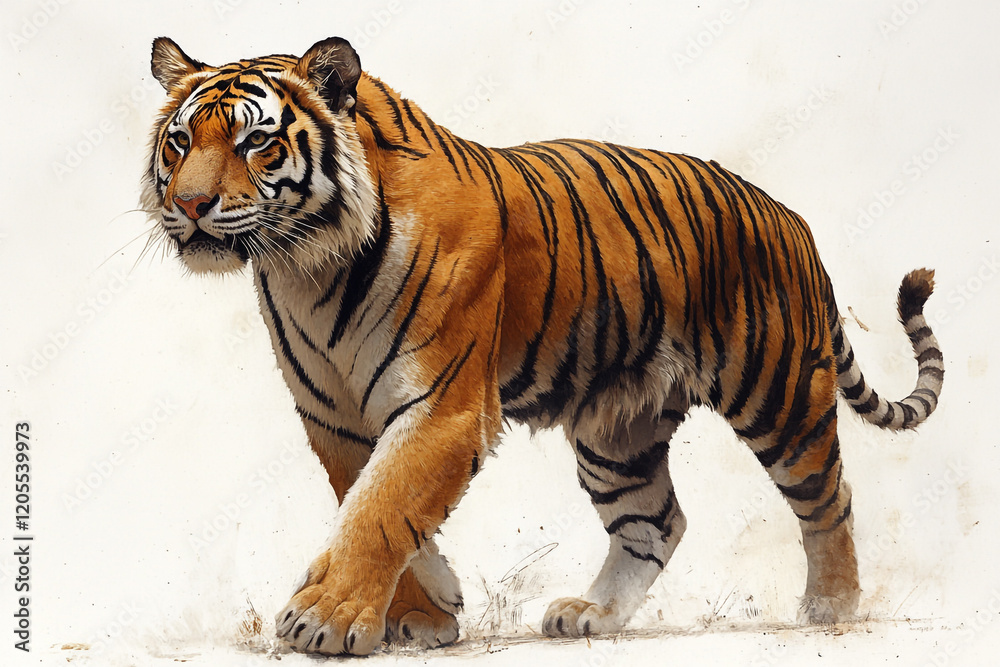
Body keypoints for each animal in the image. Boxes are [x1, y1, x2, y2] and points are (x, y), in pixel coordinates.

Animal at [143, 36, 944, 656]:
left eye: (255, 141)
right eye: (180, 141)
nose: (188, 205)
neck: (309, 264)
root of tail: (791, 217)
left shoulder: (444, 404)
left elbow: (380, 508)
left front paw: (325, 618)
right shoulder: (333, 416)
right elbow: (372, 502)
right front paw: (426, 611)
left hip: (777, 391)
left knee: (828, 498)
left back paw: (831, 608)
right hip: (618, 428)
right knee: (656, 520)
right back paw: (593, 615)